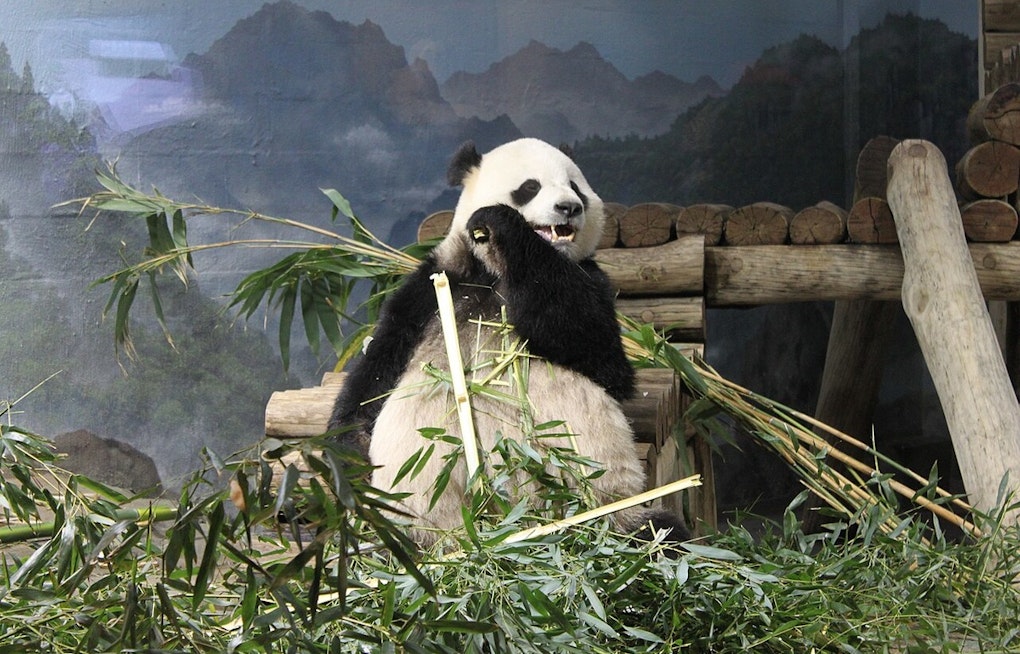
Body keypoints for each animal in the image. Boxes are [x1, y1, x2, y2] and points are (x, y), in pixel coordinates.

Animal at [328, 137, 688, 545]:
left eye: (575, 186)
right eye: (530, 186)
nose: (570, 207)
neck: (493, 273)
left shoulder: (590, 279)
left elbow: (603, 358)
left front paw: (502, 223)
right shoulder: (431, 289)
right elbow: (376, 372)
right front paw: (350, 458)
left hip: (602, 496)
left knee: (647, 528)